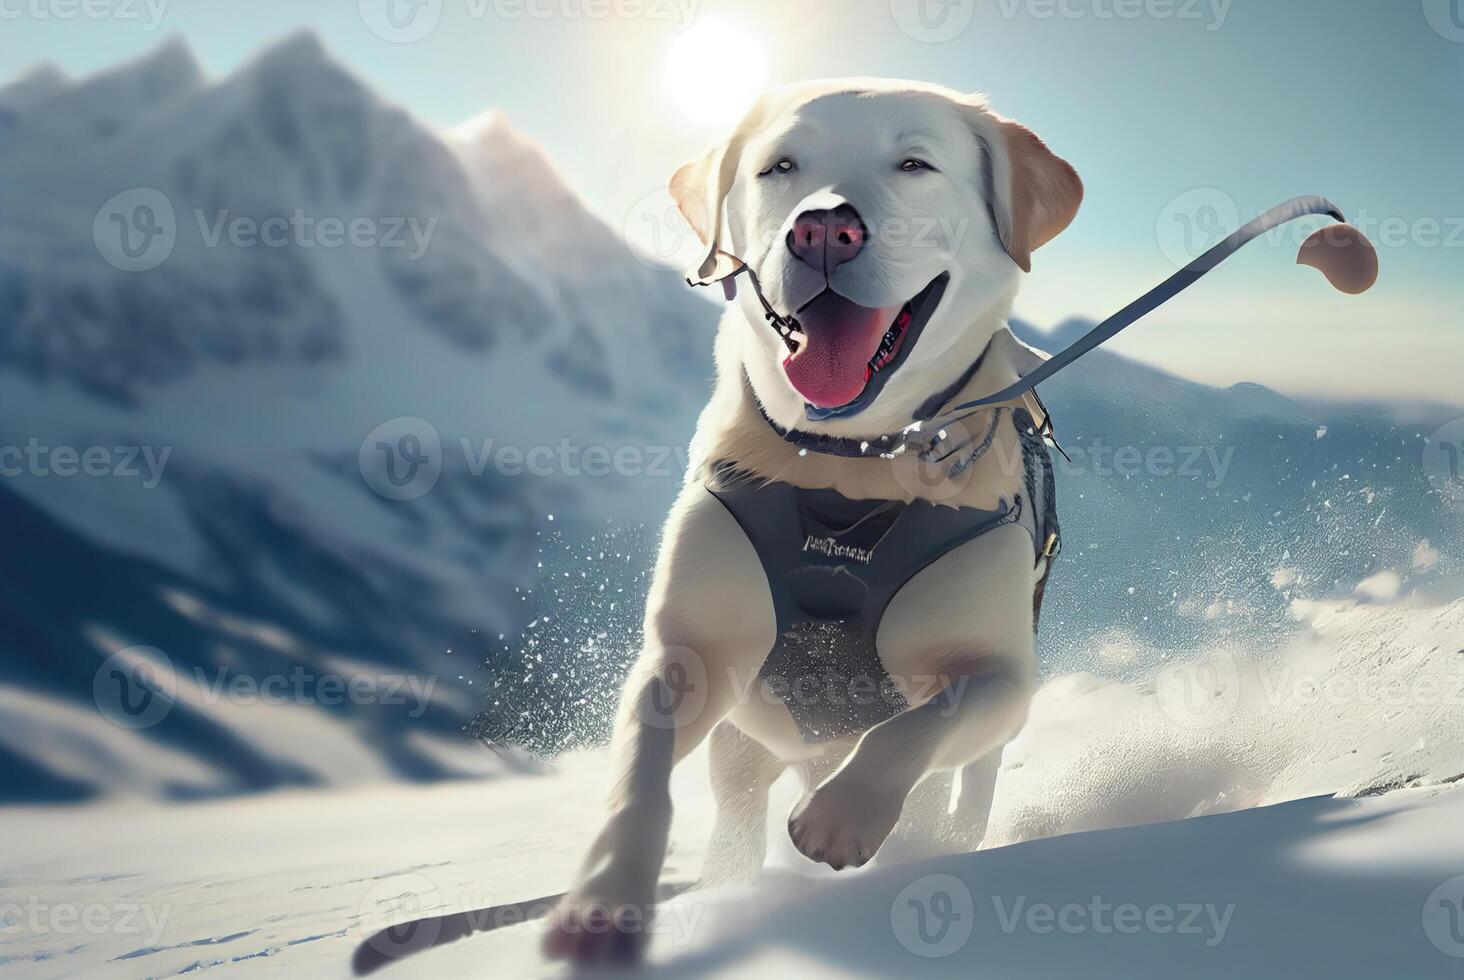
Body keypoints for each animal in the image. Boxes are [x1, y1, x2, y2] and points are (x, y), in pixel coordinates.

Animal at [544, 78, 1083, 960]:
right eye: (780, 167)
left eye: (914, 164)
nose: (823, 227)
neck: (848, 469)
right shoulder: (687, 653)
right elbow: (640, 780)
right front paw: (603, 900)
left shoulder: (1001, 676)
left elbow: (913, 724)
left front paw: (841, 814)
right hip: (743, 747)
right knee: (735, 817)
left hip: (985, 744)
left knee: (959, 795)